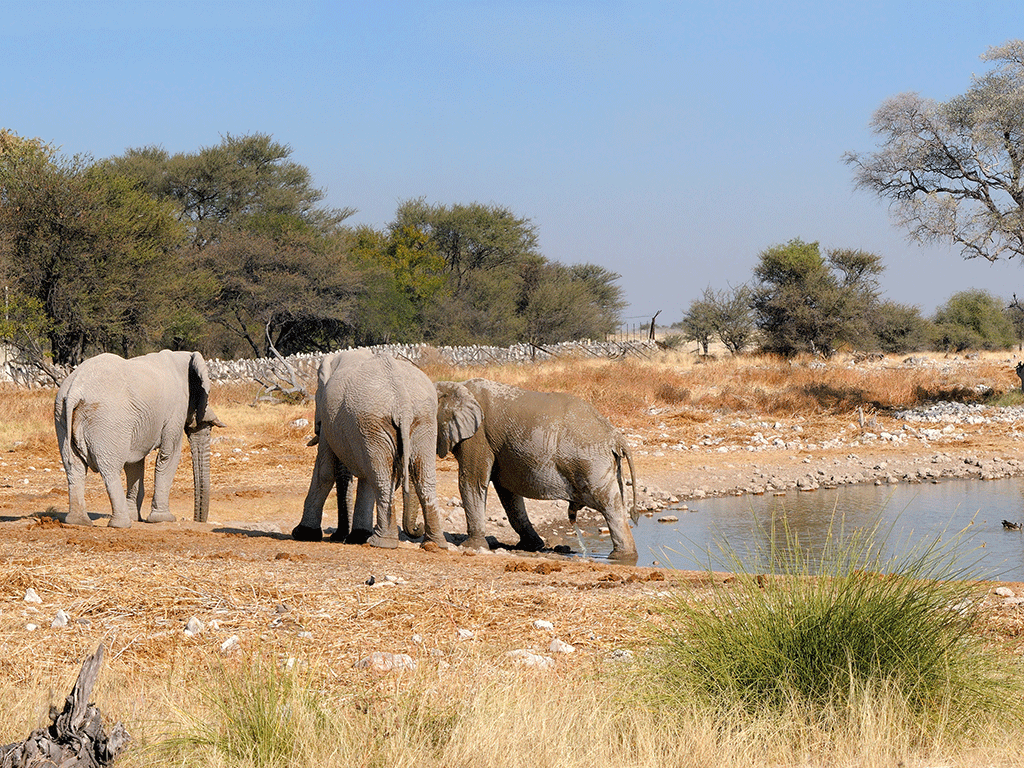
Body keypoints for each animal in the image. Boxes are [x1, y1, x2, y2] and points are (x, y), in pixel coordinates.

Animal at [52, 350, 225, 528]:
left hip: (61, 416)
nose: (198, 520)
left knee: (74, 468)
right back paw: (121, 524)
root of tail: (75, 390)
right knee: (110, 470)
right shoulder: (176, 410)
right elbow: (168, 456)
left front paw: (137, 517)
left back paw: (78, 522)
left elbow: (134, 464)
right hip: (107, 420)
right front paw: (164, 519)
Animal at [434, 380, 638, 565]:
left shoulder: (478, 437)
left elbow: (472, 482)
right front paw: (531, 546)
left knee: (609, 504)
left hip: (591, 462)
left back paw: (620, 557)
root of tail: (616, 436)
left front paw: (471, 547)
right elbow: (508, 495)